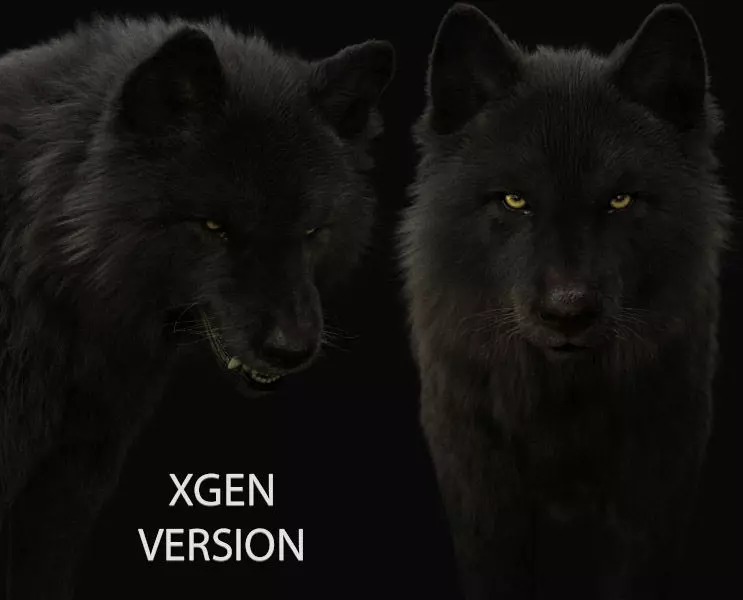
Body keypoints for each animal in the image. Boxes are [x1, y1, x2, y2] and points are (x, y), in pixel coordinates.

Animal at [399, 3, 730, 599]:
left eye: (620, 200)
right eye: (515, 200)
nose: (567, 311)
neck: (563, 402)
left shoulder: (655, 487)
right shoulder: (480, 487)